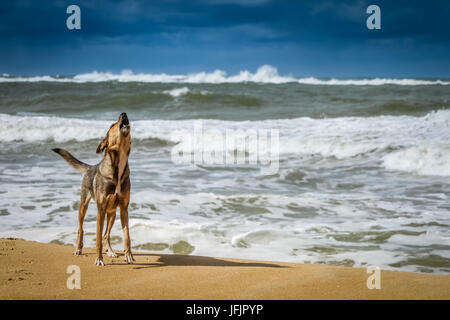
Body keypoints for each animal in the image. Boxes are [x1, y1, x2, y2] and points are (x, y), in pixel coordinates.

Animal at [52, 111, 134, 266]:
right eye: (112, 125)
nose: (123, 113)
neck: (118, 166)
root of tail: (91, 167)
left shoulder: (124, 209)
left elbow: (127, 236)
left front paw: (129, 256)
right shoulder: (100, 210)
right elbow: (98, 239)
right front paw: (99, 259)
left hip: (112, 213)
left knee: (106, 234)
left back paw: (111, 252)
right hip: (83, 206)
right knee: (81, 229)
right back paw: (78, 249)